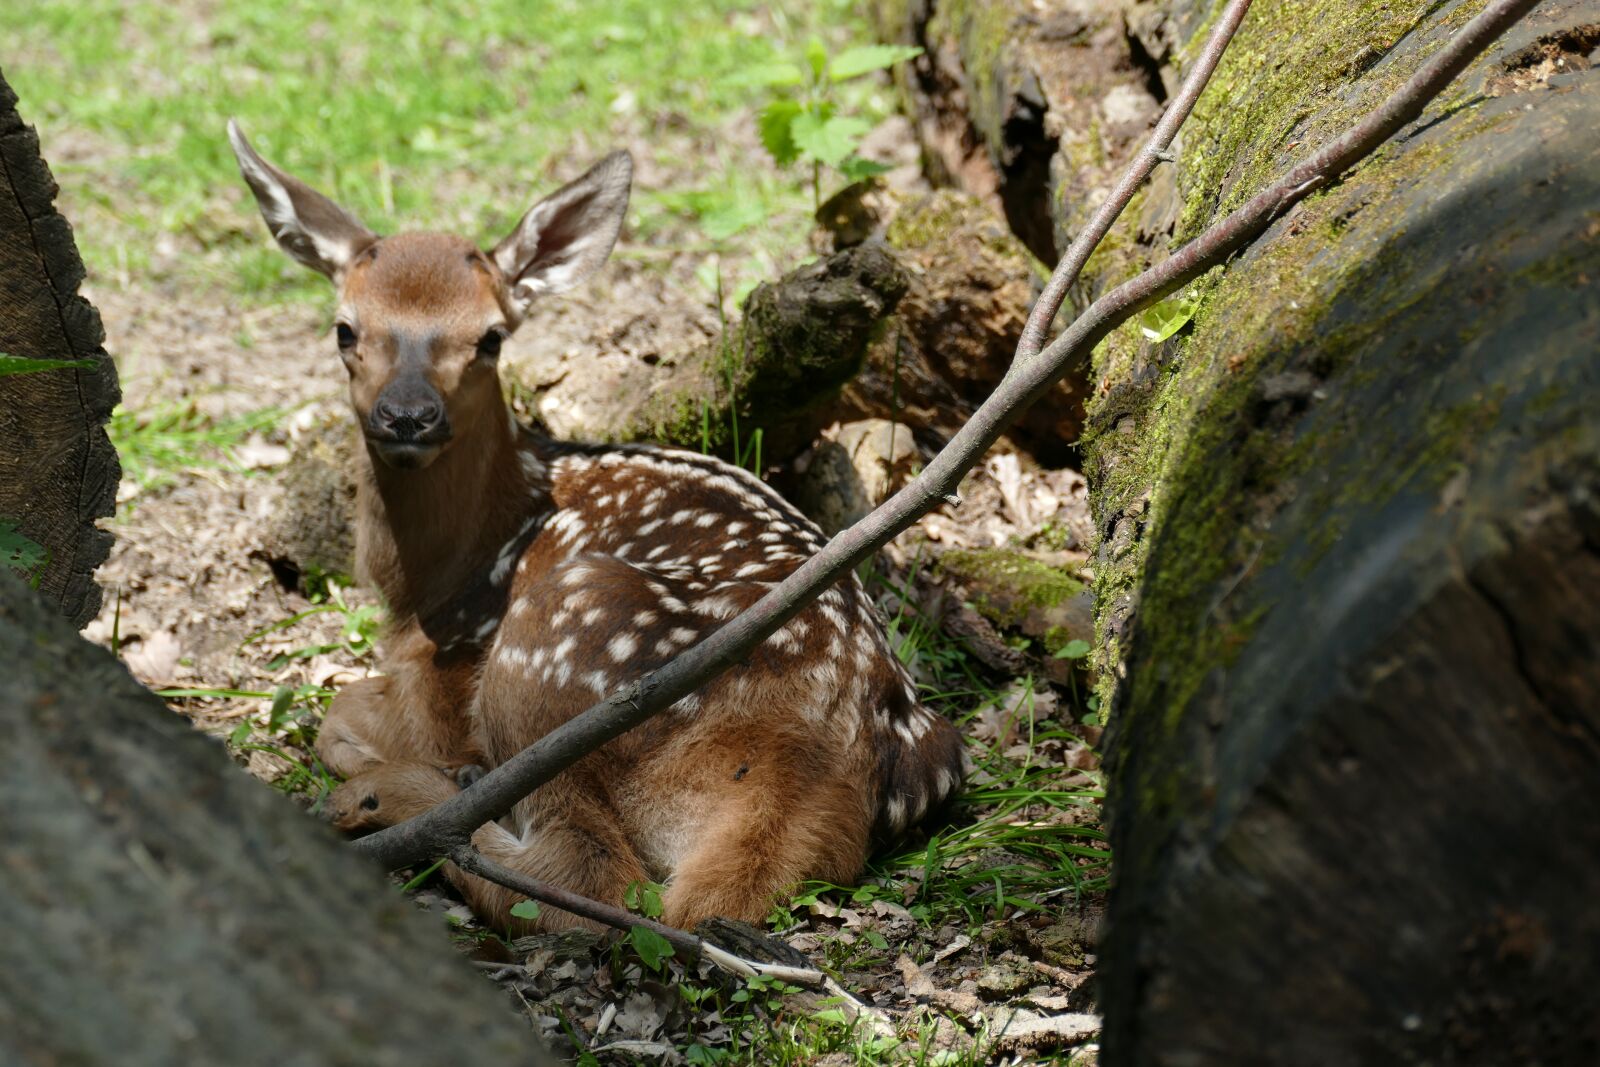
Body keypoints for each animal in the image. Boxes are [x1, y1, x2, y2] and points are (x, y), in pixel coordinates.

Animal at [226, 121, 967, 933]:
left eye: (491, 336)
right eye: (344, 329)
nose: (408, 415)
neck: (438, 576)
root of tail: (823, 737)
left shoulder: (443, 684)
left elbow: (338, 710)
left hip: (553, 650)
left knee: (590, 881)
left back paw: (388, 800)